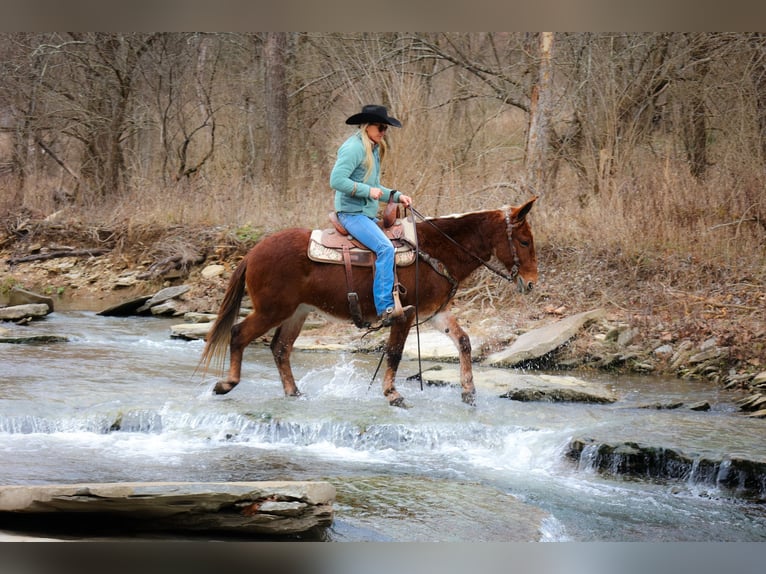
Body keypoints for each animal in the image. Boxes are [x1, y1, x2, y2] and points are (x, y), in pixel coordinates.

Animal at [201, 198, 544, 410]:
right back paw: (227, 384)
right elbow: (394, 353)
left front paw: (469, 392)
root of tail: (254, 251)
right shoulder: (404, 315)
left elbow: (463, 341)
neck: (437, 250)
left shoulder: (436, 313)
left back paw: (293, 392)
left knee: (280, 348)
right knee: (239, 334)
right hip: (272, 310)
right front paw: (393, 394)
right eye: (524, 241)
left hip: (297, 312)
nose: (531, 283)